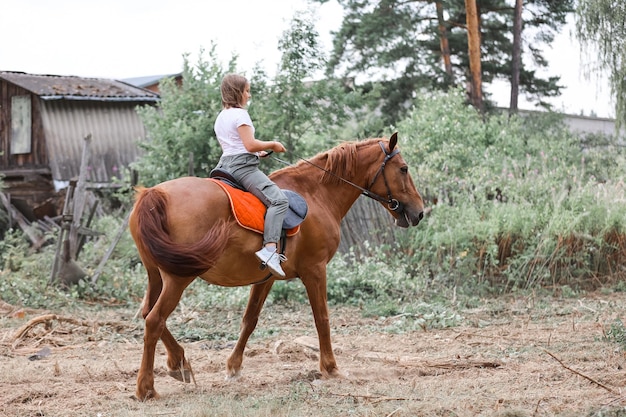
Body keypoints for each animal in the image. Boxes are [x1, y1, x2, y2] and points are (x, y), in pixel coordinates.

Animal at [130, 132, 426, 400]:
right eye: (403, 169)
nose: (419, 212)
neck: (316, 194)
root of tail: (154, 194)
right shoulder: (315, 270)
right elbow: (322, 318)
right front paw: (330, 368)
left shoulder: (267, 278)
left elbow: (250, 319)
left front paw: (233, 367)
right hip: (178, 278)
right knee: (154, 320)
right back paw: (147, 388)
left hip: (156, 275)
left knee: (146, 312)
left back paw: (179, 363)